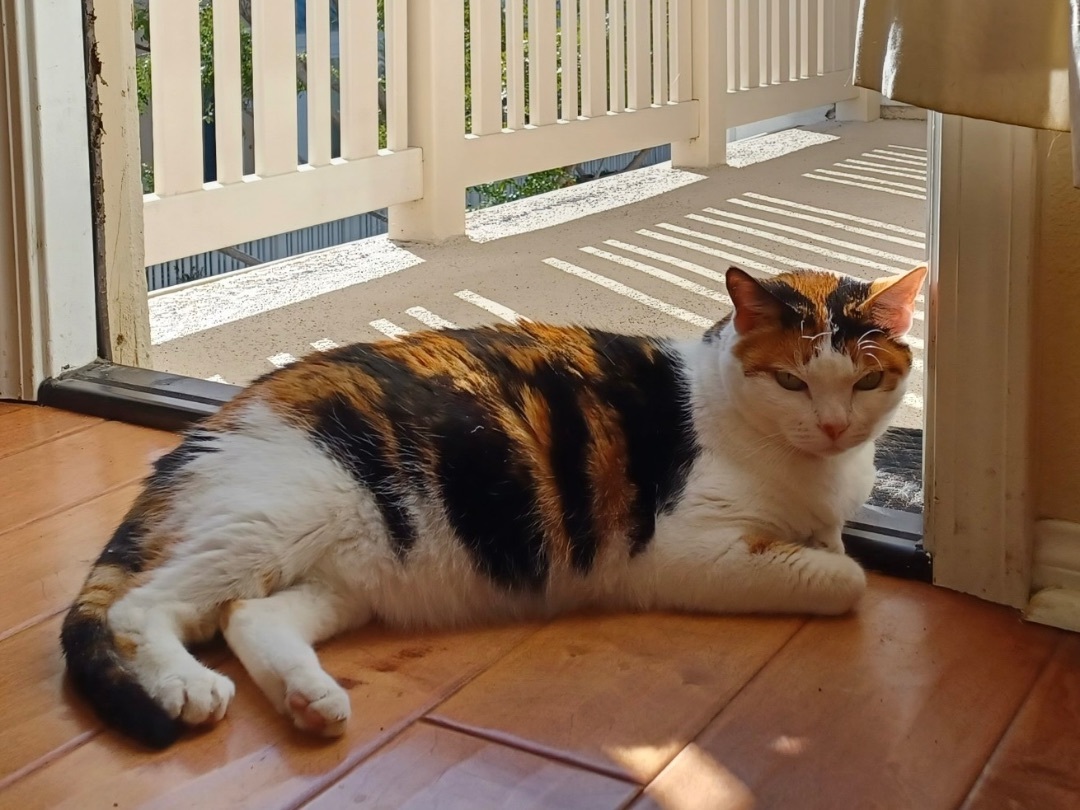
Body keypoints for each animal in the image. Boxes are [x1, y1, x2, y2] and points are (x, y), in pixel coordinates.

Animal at [59, 264, 924, 747]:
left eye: (866, 381)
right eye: (792, 381)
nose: (833, 424)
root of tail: (218, 420)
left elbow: (833, 548)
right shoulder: (686, 548)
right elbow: (845, 579)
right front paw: (826, 563)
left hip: (354, 568)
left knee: (249, 616)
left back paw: (311, 702)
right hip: (280, 514)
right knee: (142, 608)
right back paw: (187, 689)